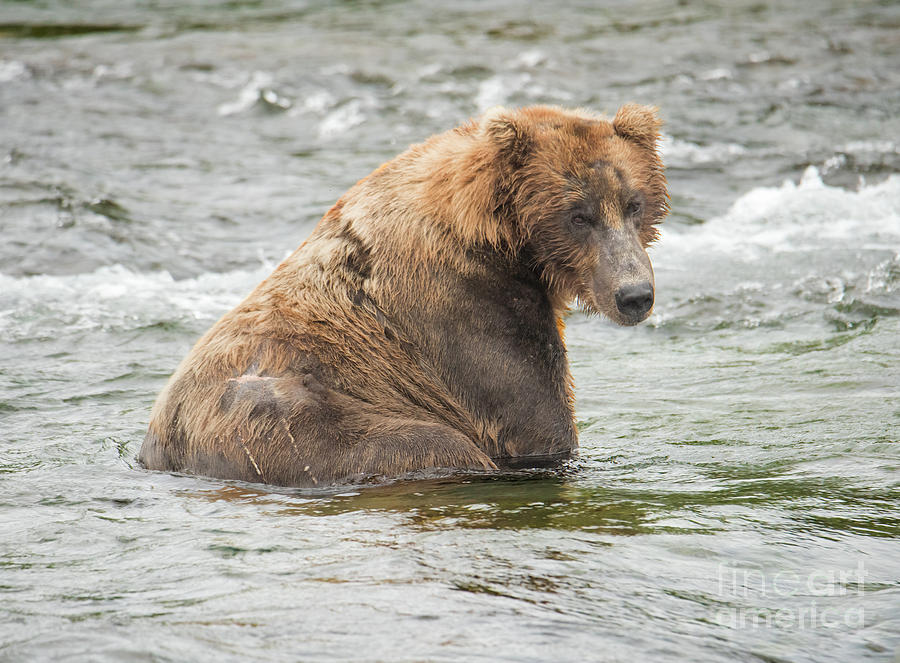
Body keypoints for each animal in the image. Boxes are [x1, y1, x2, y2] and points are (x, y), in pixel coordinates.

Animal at [137, 104, 664, 488]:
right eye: (578, 215)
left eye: (633, 204)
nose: (635, 294)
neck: (495, 237)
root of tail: (161, 446)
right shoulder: (467, 312)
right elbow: (534, 422)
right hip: (292, 425)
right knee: (430, 444)